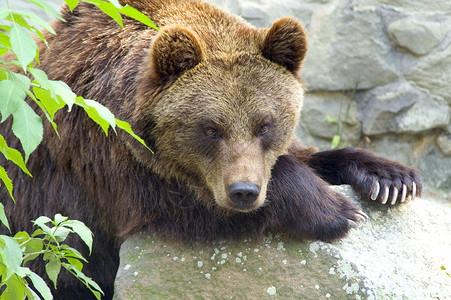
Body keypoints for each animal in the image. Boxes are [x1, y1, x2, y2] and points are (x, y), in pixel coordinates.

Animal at [1, 0, 422, 298]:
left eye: (265, 125)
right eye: (210, 129)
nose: (244, 191)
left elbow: (305, 155)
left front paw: (391, 178)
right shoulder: (103, 158)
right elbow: (182, 201)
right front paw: (336, 210)